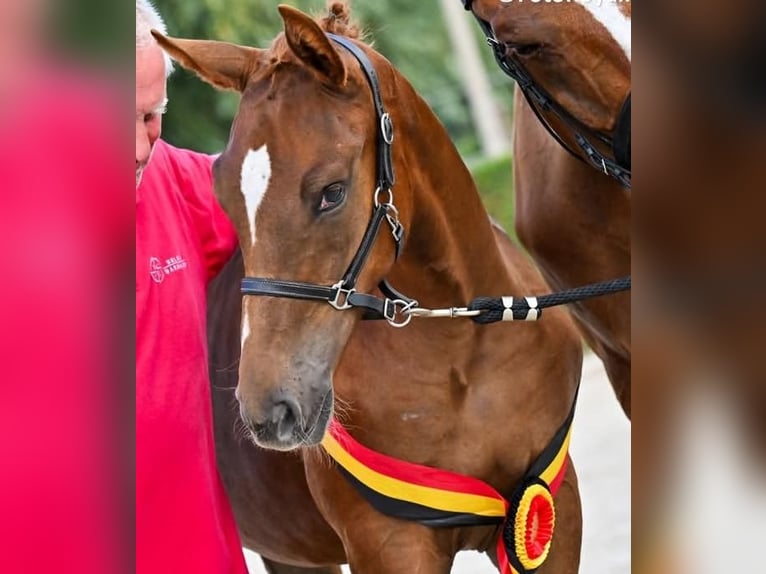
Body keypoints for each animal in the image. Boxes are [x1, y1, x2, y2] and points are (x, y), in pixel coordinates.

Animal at [155, 3, 583, 572]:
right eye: (223, 198)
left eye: (332, 192)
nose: (269, 410)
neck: (466, 346)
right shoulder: (390, 542)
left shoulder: (550, 512)